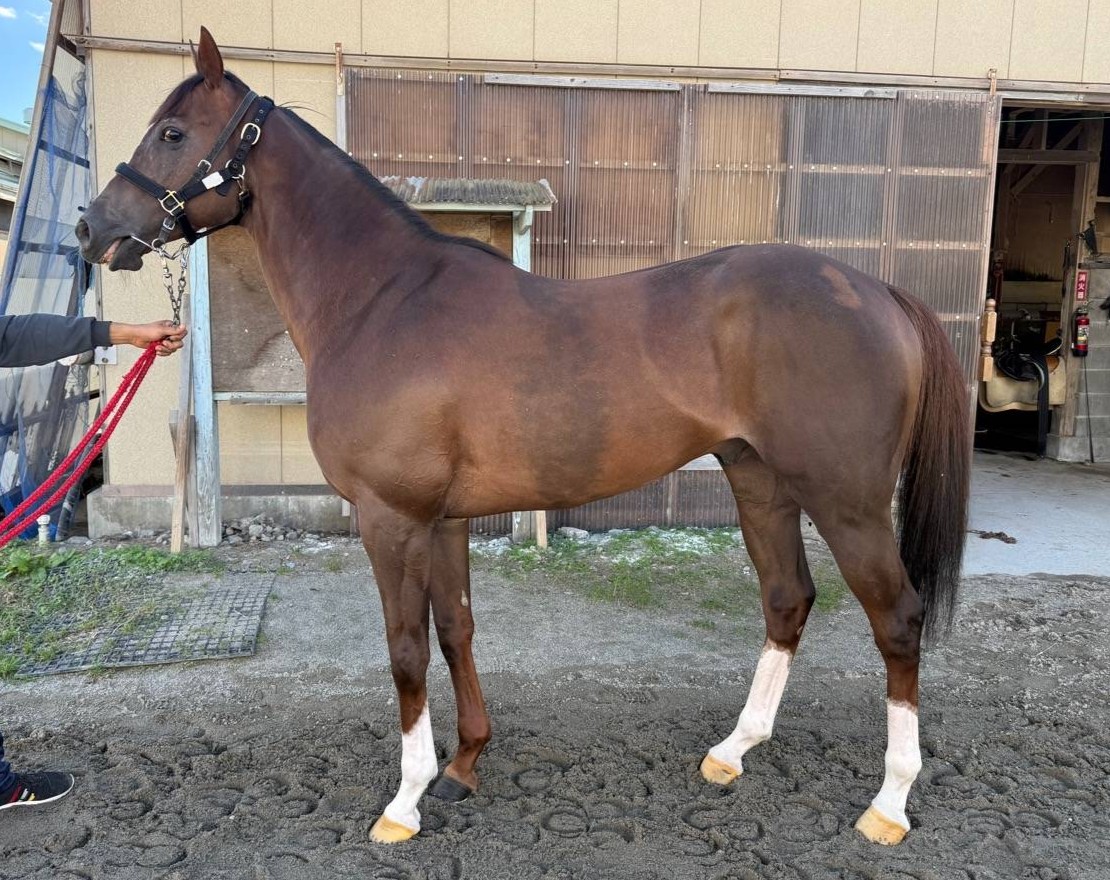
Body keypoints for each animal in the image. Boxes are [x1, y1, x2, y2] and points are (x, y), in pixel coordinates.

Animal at [77, 28, 970, 847]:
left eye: (172, 133)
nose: (92, 228)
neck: (381, 299)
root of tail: (877, 291)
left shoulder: (391, 518)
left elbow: (405, 648)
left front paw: (405, 800)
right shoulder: (443, 520)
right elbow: (455, 630)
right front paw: (466, 762)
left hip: (847, 502)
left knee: (898, 619)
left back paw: (889, 803)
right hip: (760, 482)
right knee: (787, 599)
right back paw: (733, 751)